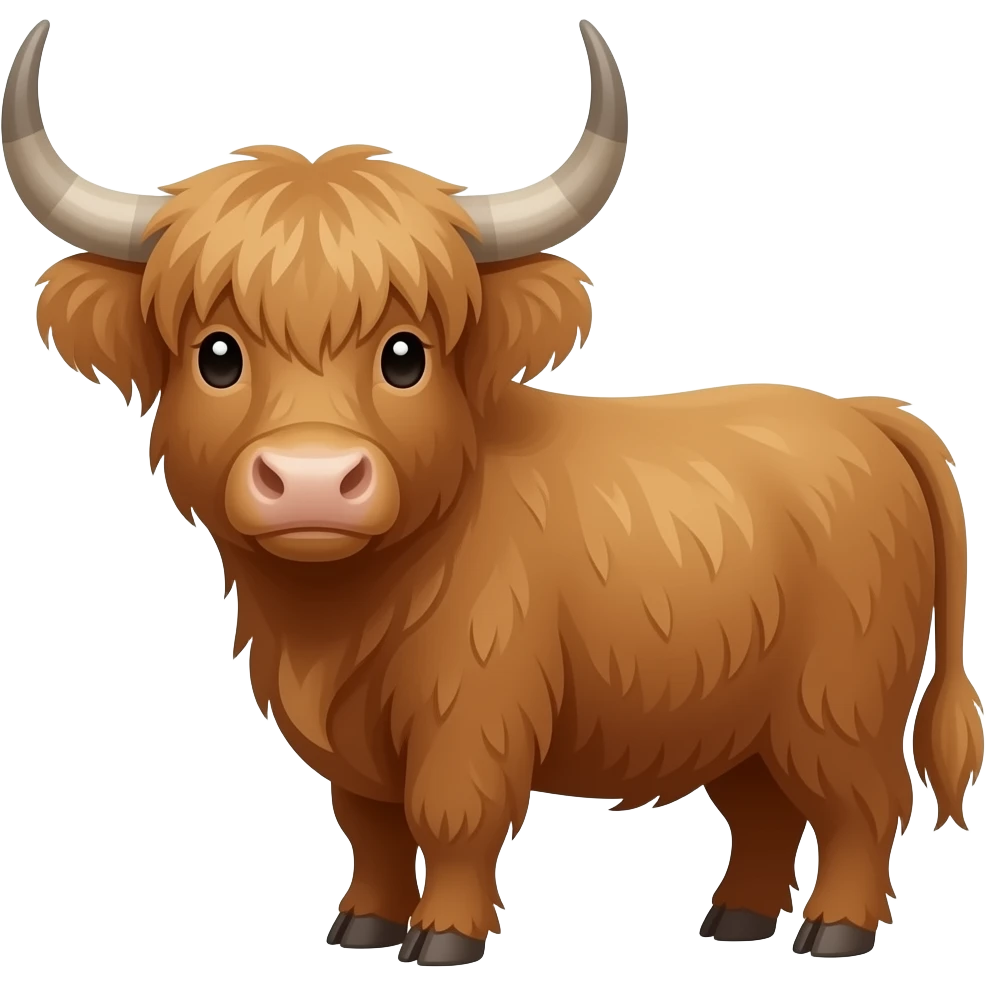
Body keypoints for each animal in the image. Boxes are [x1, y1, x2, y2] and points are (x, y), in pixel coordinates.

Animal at [4, 17, 982, 967]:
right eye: (216, 354)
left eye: (406, 354)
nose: (314, 480)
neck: (339, 618)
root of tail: (864, 413)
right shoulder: (353, 746)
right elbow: (372, 827)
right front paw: (363, 923)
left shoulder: (473, 707)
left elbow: (450, 815)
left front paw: (443, 936)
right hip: (738, 707)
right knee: (766, 810)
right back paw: (734, 919)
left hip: (838, 699)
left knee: (863, 801)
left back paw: (837, 930)